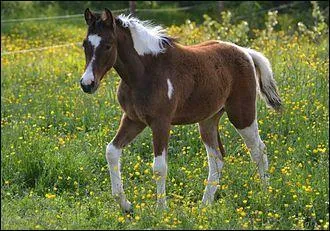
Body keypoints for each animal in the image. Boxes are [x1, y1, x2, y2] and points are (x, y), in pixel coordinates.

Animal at [79, 8, 282, 212]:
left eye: (108, 45)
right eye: (85, 44)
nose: (87, 84)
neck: (144, 73)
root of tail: (245, 51)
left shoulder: (161, 122)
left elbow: (159, 167)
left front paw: (161, 210)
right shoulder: (133, 119)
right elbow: (111, 152)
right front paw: (125, 205)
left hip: (241, 114)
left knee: (258, 150)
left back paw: (266, 195)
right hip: (208, 120)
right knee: (217, 159)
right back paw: (204, 206)